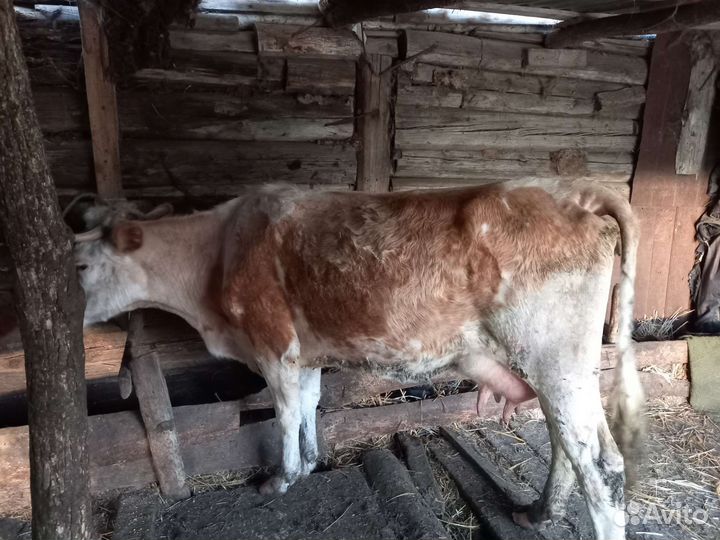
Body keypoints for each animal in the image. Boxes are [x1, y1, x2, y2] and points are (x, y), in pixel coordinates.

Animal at [73, 181, 643, 540]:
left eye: (79, 266)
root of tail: (570, 191)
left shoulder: (273, 345)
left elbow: (284, 413)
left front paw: (281, 478)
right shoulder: (304, 353)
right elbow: (308, 404)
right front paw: (309, 462)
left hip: (553, 360)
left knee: (602, 464)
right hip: (564, 368)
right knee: (568, 446)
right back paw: (537, 514)